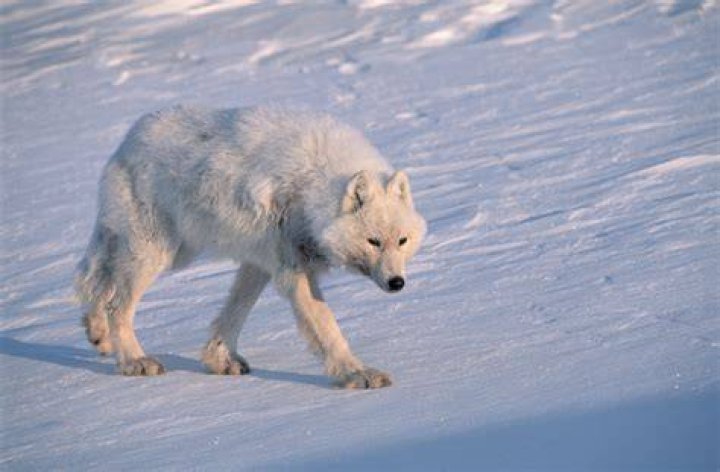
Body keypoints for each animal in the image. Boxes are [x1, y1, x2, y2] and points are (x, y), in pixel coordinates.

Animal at [75, 105, 426, 388]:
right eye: (373, 242)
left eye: (402, 241)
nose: (397, 283)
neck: (313, 185)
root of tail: (128, 140)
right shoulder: (292, 268)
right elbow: (326, 327)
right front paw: (357, 374)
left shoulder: (261, 262)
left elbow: (235, 312)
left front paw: (219, 360)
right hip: (156, 253)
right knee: (116, 303)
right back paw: (134, 361)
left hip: (171, 252)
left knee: (95, 281)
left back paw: (98, 335)